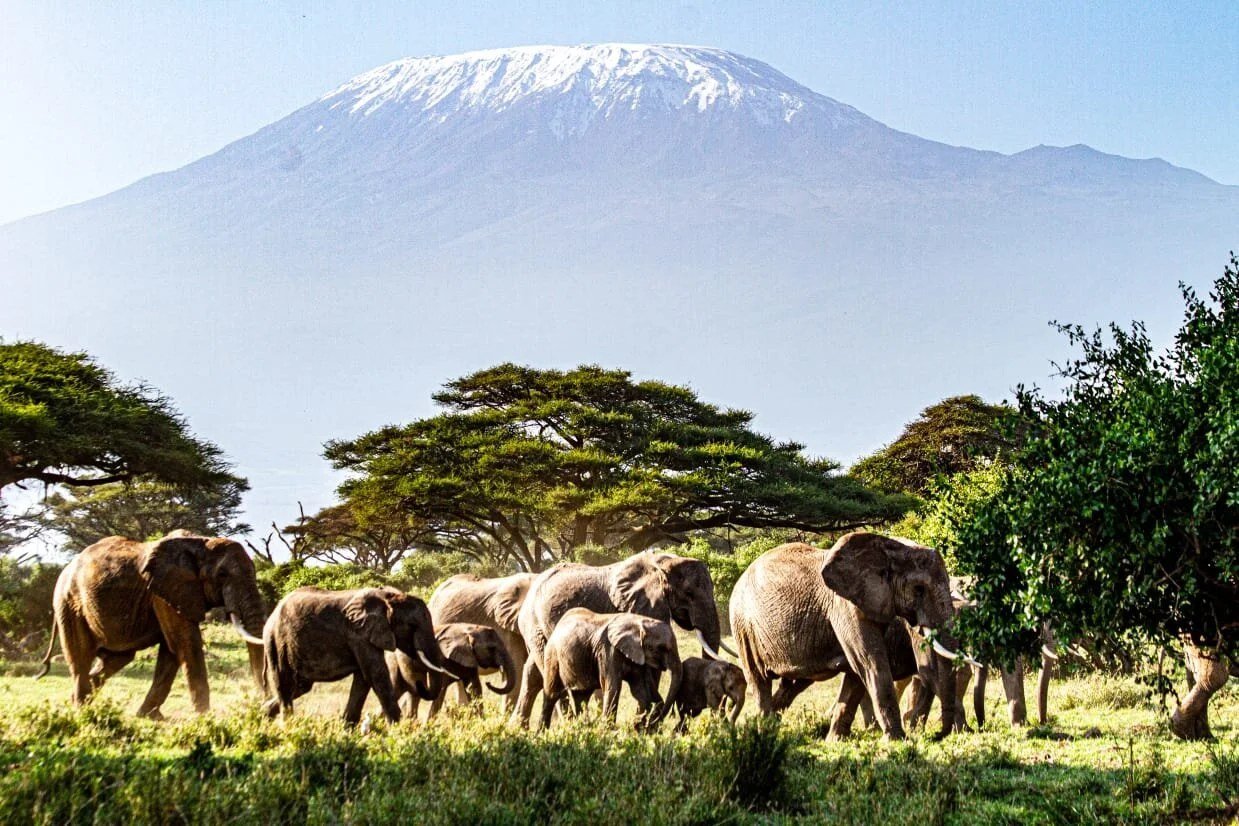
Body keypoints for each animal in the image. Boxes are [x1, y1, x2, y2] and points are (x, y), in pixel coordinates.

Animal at [35, 530, 267, 718]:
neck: (202, 542)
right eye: (222, 575)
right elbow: (185, 644)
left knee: (116, 659)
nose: (260, 705)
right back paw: (81, 710)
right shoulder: (163, 594)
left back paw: (79, 702)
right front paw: (205, 717)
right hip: (69, 605)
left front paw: (149, 716)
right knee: (81, 659)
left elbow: (171, 650)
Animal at [262, 586, 450, 725]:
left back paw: (262, 714)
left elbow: (363, 680)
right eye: (412, 626)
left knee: (301, 686)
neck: (388, 598)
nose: (419, 683)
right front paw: (398, 730)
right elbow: (376, 675)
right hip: (275, 641)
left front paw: (347, 729)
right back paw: (286, 724)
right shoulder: (358, 634)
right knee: (284, 682)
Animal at [389, 622, 518, 719]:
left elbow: (474, 687)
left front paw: (481, 722)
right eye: (491, 648)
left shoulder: (469, 657)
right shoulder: (442, 658)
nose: (489, 683)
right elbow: (442, 689)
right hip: (401, 659)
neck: (469, 630)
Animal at [540, 608, 682, 731]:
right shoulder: (608, 651)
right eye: (662, 648)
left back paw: (582, 728)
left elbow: (639, 690)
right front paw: (609, 732)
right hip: (552, 654)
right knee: (551, 694)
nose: (653, 724)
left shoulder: (637, 656)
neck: (638, 622)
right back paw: (541, 733)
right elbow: (613, 688)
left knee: (581, 696)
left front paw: (637, 728)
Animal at [728, 532, 961, 740]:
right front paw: (897, 740)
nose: (939, 735)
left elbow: (857, 673)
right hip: (743, 625)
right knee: (758, 680)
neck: (892, 547)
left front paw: (835, 741)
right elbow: (871, 662)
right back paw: (765, 734)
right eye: (919, 589)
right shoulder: (845, 606)